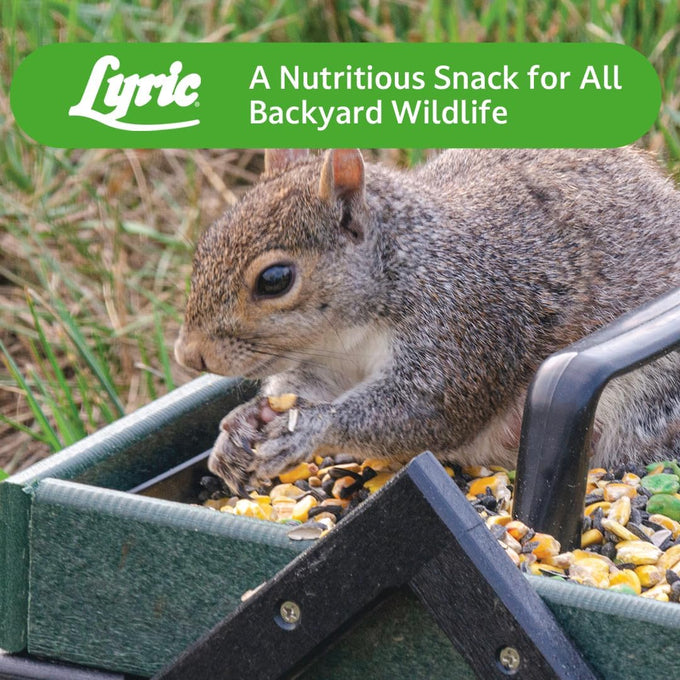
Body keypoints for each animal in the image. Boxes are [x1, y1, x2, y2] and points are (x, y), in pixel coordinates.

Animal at [175, 147, 680, 494]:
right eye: (206, 244)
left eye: (275, 279)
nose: (189, 355)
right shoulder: (326, 363)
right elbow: (304, 388)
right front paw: (239, 427)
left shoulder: (467, 326)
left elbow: (425, 412)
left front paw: (306, 428)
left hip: (651, 404)